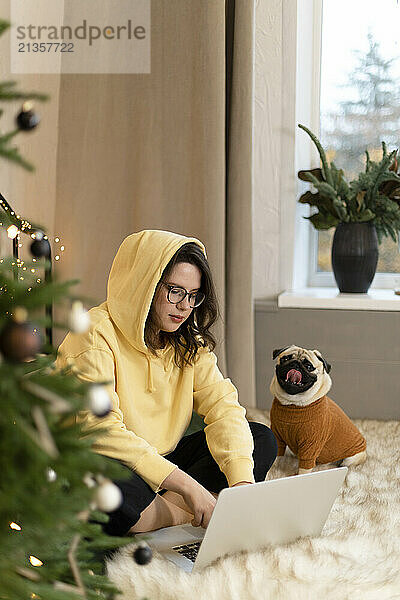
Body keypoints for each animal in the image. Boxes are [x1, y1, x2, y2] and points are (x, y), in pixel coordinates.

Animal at [268, 344, 366, 476]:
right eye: (285, 359)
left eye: (309, 366)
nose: (295, 364)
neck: (293, 403)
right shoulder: (277, 435)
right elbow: (276, 454)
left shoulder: (310, 444)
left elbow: (304, 469)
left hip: (351, 458)